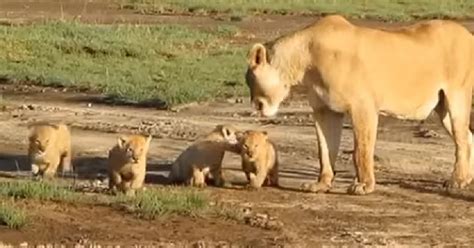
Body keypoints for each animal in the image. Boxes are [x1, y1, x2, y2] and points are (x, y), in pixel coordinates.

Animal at [244, 14, 474, 195]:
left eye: (250, 80)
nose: (257, 106)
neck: (305, 60)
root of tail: (468, 34)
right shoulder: (325, 111)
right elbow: (324, 150)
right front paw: (321, 184)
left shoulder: (362, 106)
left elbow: (361, 150)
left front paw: (363, 186)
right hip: (442, 108)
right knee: (468, 137)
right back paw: (468, 178)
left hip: (457, 95)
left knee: (462, 141)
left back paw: (458, 180)